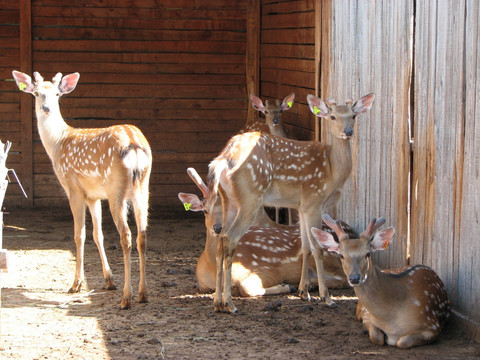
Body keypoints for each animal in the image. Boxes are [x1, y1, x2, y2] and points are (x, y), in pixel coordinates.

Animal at [12, 71, 152, 310]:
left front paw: (76, 284)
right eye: (37, 93)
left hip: (116, 189)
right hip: (143, 188)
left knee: (126, 235)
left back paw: (126, 298)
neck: (57, 143)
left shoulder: (73, 187)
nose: (46, 108)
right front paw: (108, 280)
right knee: (142, 234)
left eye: (57, 94)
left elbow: (80, 234)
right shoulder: (94, 196)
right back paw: (143, 294)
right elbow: (98, 234)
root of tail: (134, 145)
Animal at [178, 167, 354, 296]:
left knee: (343, 278)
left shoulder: (266, 269)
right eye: (205, 210)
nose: (218, 228)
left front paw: (285, 286)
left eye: (229, 210)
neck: (211, 267)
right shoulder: (202, 284)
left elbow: (244, 288)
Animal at [206, 93, 376, 312]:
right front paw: (325, 297)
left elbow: (305, 246)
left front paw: (304, 292)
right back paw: (230, 303)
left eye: (353, 115)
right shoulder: (314, 200)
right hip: (251, 196)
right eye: (332, 117)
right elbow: (317, 248)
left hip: (229, 200)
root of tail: (222, 159)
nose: (348, 131)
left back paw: (218, 302)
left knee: (221, 239)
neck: (332, 171)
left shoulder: (301, 206)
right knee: (230, 238)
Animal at [312, 215, 450, 348]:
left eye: (367, 254)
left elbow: (402, 342)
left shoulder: (432, 326)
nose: (354, 278)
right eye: (341, 255)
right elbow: (376, 337)